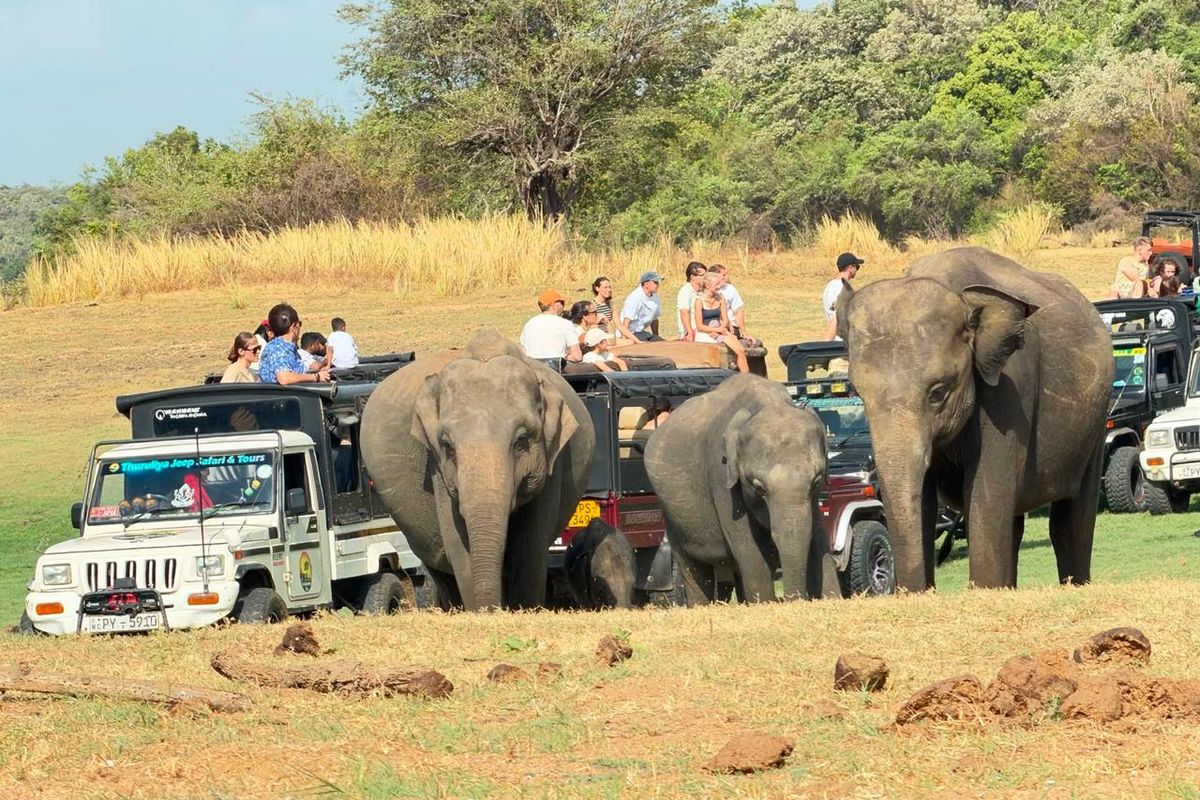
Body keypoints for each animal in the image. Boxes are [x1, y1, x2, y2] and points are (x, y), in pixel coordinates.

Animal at [360, 333, 595, 610]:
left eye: (521, 440)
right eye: (448, 446)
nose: (494, 610)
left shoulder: (555, 457)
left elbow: (531, 546)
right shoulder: (437, 468)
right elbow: (458, 544)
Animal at [644, 373, 838, 604]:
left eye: (816, 481)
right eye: (759, 487)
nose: (794, 600)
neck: (769, 402)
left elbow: (817, 537)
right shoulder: (721, 476)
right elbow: (750, 551)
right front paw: (765, 602)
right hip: (672, 516)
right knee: (692, 568)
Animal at [835, 246, 1113, 591]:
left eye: (938, 392)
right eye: (859, 395)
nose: (911, 591)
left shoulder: (1010, 387)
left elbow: (986, 496)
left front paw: (984, 589)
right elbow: (929, 504)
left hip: (1095, 425)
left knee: (1070, 522)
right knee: (1015, 524)